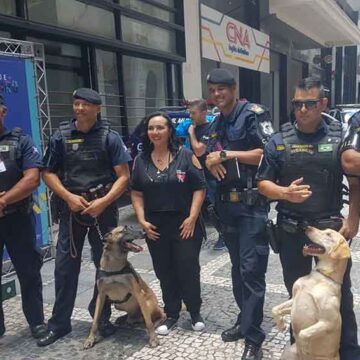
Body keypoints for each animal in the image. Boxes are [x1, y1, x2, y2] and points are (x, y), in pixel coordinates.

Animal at [272, 226, 350, 358]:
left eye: (328, 234)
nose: (307, 227)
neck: (319, 277)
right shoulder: (294, 299)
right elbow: (275, 309)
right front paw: (281, 324)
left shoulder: (330, 321)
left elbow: (303, 333)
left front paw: (305, 348)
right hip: (288, 352)